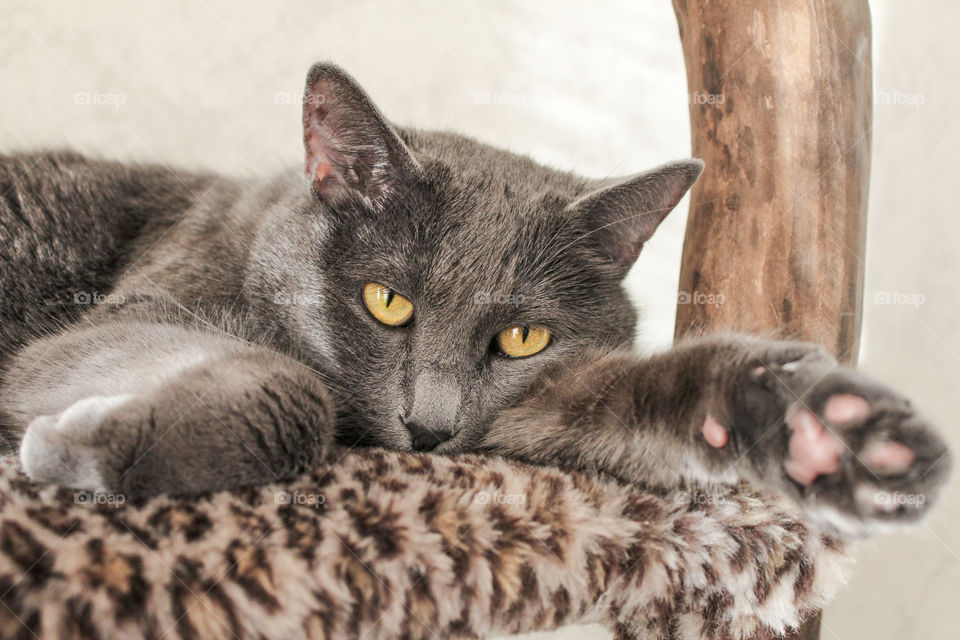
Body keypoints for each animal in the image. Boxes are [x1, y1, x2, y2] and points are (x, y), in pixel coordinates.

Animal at [0, 65, 948, 536]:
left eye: (523, 338)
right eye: (386, 302)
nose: (428, 428)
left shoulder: (522, 414)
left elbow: (628, 398)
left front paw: (825, 428)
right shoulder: (141, 305)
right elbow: (289, 393)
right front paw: (91, 447)